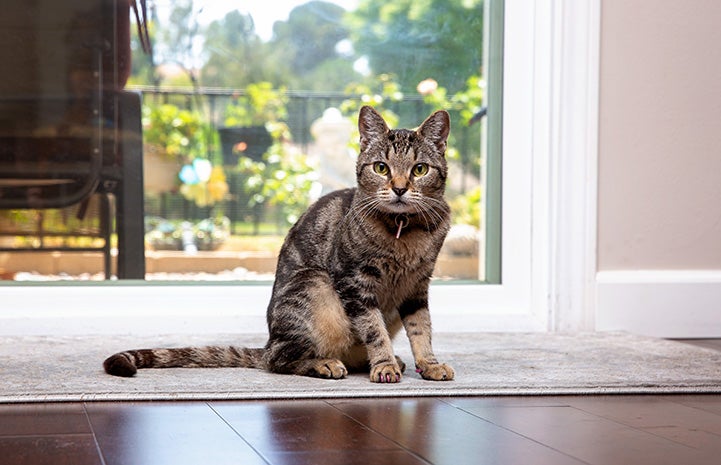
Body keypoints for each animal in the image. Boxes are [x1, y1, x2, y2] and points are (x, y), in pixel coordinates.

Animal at [104, 107, 452, 382]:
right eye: (381, 167)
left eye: (419, 169)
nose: (399, 188)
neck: (404, 233)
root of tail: (268, 341)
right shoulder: (354, 281)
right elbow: (373, 329)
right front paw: (383, 364)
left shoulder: (417, 287)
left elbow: (422, 329)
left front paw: (429, 364)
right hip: (315, 285)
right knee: (279, 360)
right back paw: (326, 363)